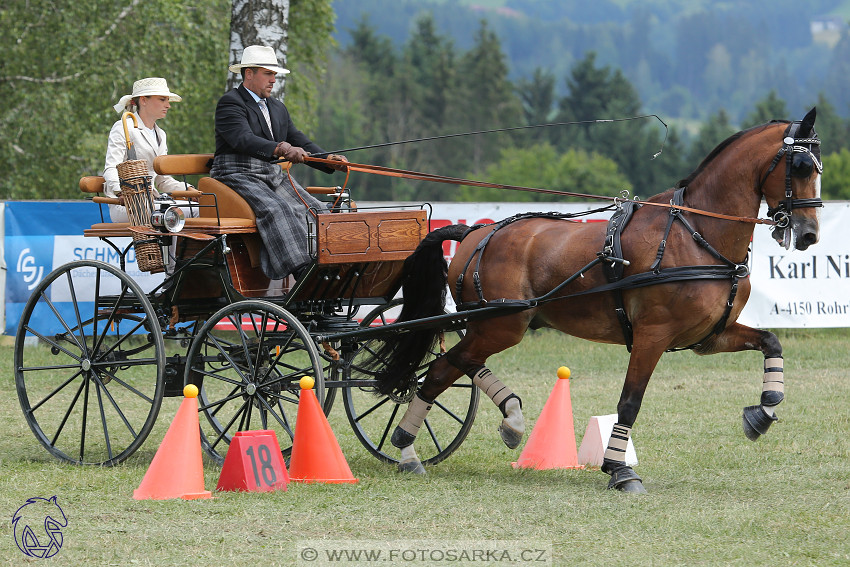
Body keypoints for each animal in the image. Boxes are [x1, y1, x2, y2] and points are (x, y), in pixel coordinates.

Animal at [372, 107, 820, 492]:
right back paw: (412, 449)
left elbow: (771, 342)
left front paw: (763, 412)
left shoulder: (708, 337)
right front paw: (620, 470)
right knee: (442, 369)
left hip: (498, 324)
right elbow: (629, 403)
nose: (809, 233)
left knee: (459, 364)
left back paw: (501, 422)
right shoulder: (652, 336)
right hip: (501, 324)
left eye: (818, 167)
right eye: (800, 166)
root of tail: (475, 233)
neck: (697, 235)